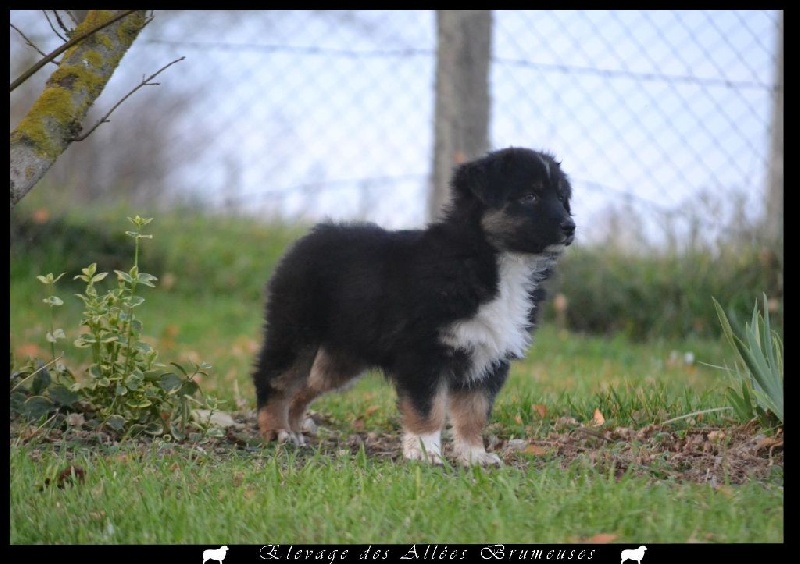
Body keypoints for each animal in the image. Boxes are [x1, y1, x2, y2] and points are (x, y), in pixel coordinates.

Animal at [253, 147, 572, 468]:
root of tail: (307, 239)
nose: (570, 227)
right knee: (276, 381)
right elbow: (427, 407)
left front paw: (474, 455)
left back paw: (296, 430)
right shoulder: (424, 350)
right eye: (530, 196)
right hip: (295, 331)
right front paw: (424, 452)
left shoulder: (489, 355)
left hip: (341, 359)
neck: (494, 261)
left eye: (561, 197)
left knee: (303, 389)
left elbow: (474, 412)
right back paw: (277, 431)